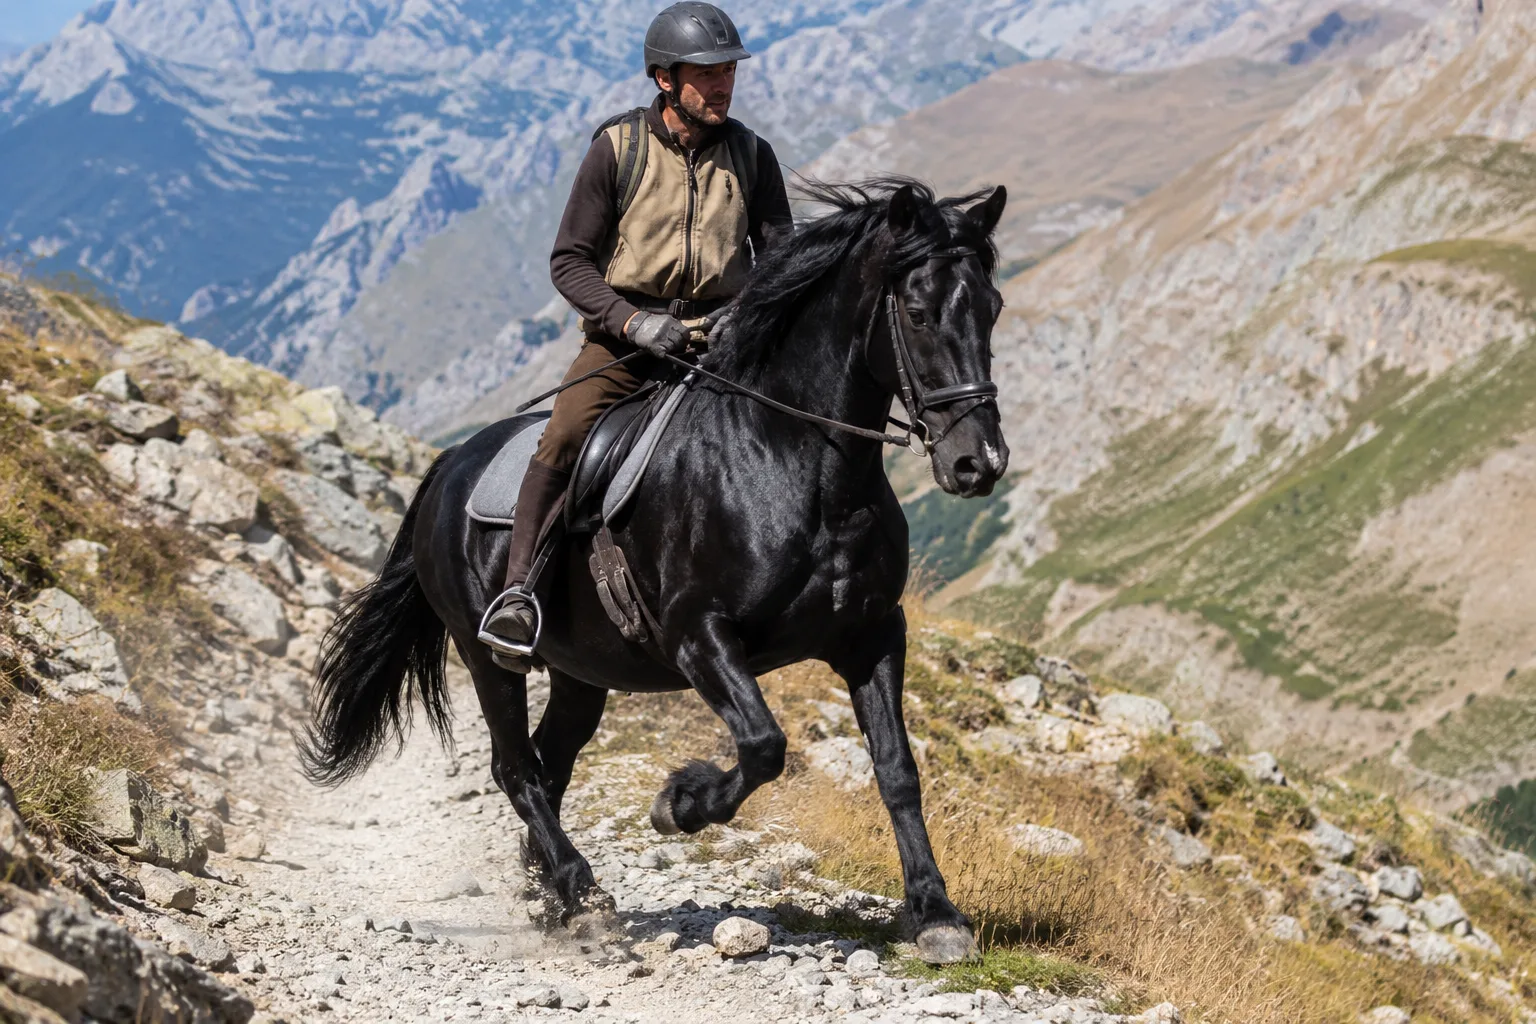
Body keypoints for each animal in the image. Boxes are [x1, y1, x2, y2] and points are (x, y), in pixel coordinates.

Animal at [299, 178, 1010, 964]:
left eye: (992, 307)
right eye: (916, 313)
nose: (978, 463)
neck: (798, 465)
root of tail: (449, 465)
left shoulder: (873, 636)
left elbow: (897, 770)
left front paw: (936, 913)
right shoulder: (699, 637)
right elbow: (764, 746)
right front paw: (680, 804)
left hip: (580, 671)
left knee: (549, 764)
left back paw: (549, 889)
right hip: (488, 656)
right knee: (515, 768)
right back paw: (585, 899)